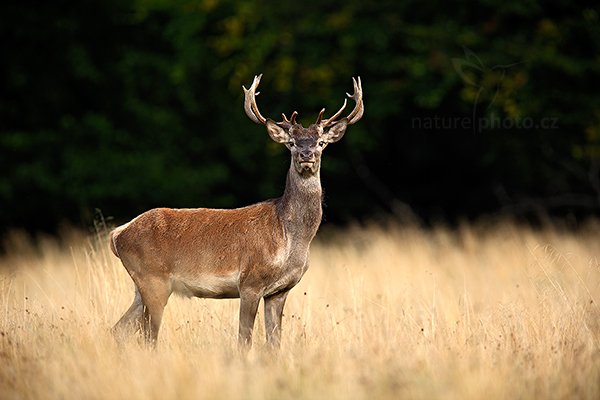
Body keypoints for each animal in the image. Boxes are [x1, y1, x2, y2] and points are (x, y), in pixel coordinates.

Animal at [109, 74, 364, 350]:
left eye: (321, 142)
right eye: (292, 143)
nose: (306, 155)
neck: (290, 239)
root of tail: (118, 234)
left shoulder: (279, 291)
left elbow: (274, 343)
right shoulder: (250, 281)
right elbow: (244, 339)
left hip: (141, 286)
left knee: (118, 329)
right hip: (153, 280)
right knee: (148, 336)